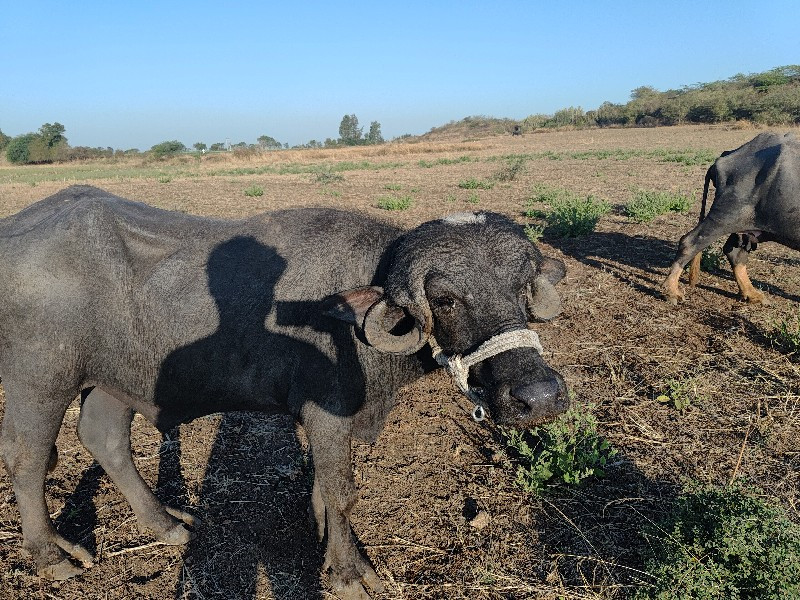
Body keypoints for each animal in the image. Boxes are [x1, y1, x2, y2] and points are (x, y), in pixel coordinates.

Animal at [0, 185, 564, 596]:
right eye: (445, 299)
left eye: (521, 287)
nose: (538, 396)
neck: (351, 317)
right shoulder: (328, 413)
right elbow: (342, 491)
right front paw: (348, 573)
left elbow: (322, 489)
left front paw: (335, 548)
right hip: (40, 381)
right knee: (25, 458)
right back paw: (52, 556)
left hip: (114, 381)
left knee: (105, 439)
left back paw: (168, 524)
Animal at [664, 132, 800, 304]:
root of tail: (725, 157)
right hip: (724, 216)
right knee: (689, 242)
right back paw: (672, 291)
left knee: (734, 252)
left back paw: (750, 293)